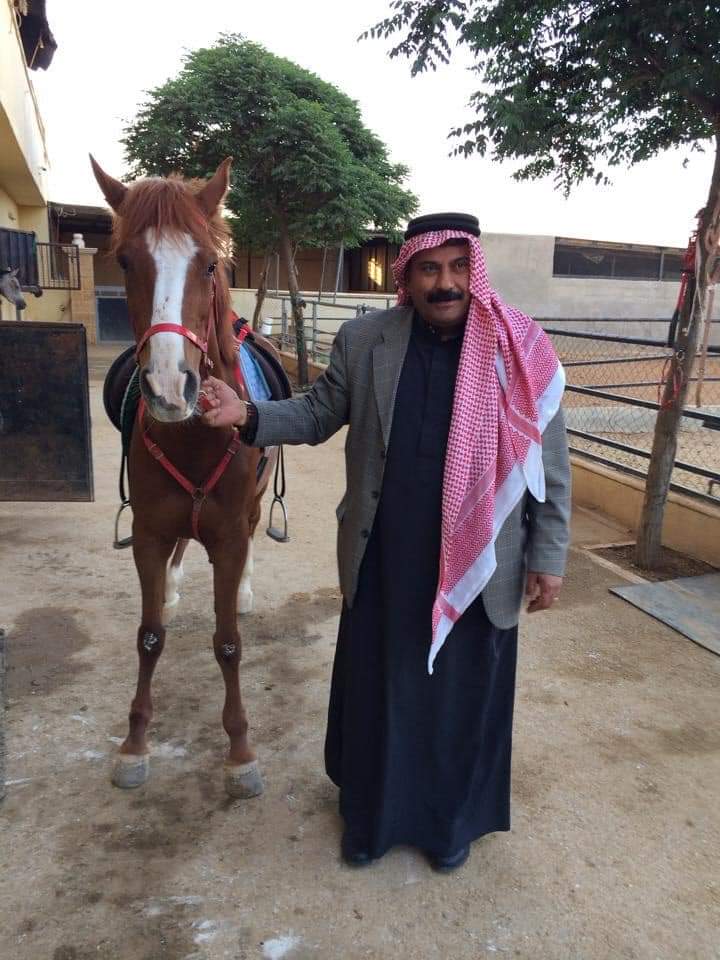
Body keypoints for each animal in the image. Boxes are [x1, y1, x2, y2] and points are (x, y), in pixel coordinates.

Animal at [91, 156, 279, 799]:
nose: (171, 388)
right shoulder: (148, 533)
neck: (196, 434)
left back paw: (244, 593)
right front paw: (133, 744)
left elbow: (228, 643)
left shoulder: (229, 533)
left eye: (210, 264)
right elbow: (149, 637)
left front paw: (241, 752)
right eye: (126, 261)